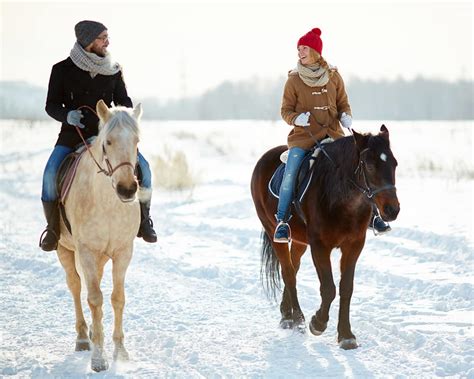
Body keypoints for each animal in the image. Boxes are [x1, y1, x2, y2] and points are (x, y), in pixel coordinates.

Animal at [56, 99, 142, 372]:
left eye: (136, 140)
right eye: (108, 142)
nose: (127, 189)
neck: (108, 203)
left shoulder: (123, 252)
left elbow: (117, 298)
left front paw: (120, 352)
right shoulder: (86, 251)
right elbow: (94, 298)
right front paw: (98, 359)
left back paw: (94, 332)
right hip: (65, 249)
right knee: (75, 286)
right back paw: (84, 338)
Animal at [252, 125, 400, 350]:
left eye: (394, 163)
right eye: (369, 165)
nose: (392, 210)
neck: (342, 199)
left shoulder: (354, 245)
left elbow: (346, 288)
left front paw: (346, 335)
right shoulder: (320, 246)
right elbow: (329, 288)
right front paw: (318, 323)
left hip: (300, 241)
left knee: (293, 268)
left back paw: (286, 315)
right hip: (272, 231)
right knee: (288, 273)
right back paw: (298, 319)